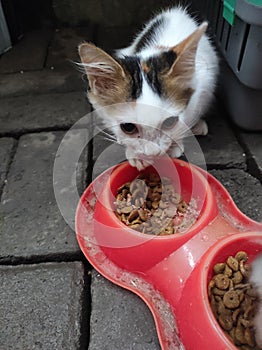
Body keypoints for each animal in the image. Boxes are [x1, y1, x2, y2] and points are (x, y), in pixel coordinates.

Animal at [78, 5, 219, 170]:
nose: (153, 152)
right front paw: (135, 153)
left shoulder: (203, 83)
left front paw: (175, 145)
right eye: (128, 127)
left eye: (169, 122)